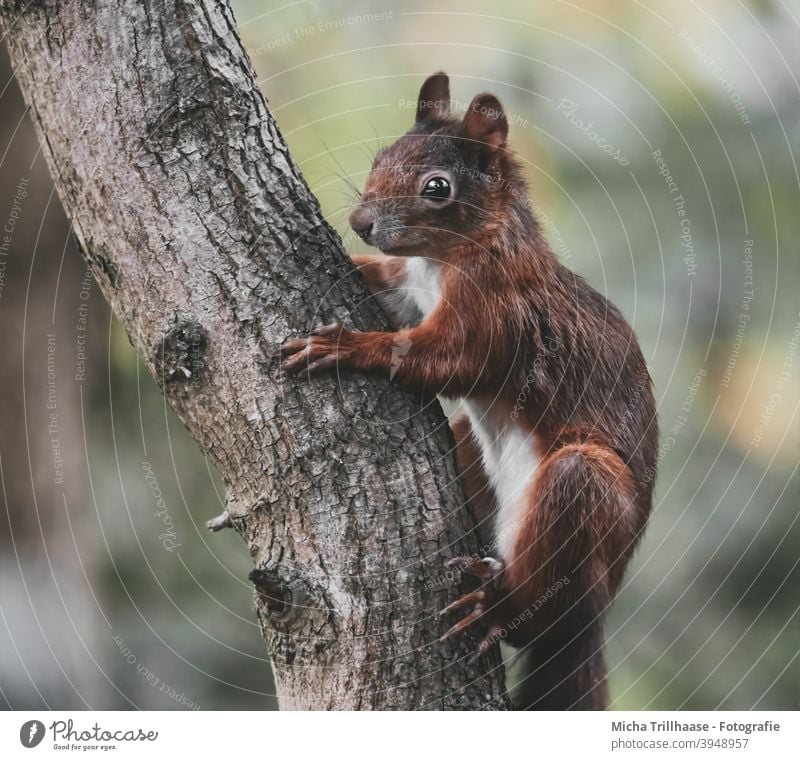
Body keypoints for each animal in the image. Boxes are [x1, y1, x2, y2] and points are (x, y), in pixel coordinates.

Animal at [280, 72, 656, 712]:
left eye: (438, 187)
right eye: (380, 158)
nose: (360, 221)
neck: (445, 257)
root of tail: (601, 608)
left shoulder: (497, 314)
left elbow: (444, 359)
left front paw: (346, 345)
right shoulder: (409, 291)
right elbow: (385, 290)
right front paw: (343, 255)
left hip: (587, 501)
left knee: (547, 605)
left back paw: (498, 609)